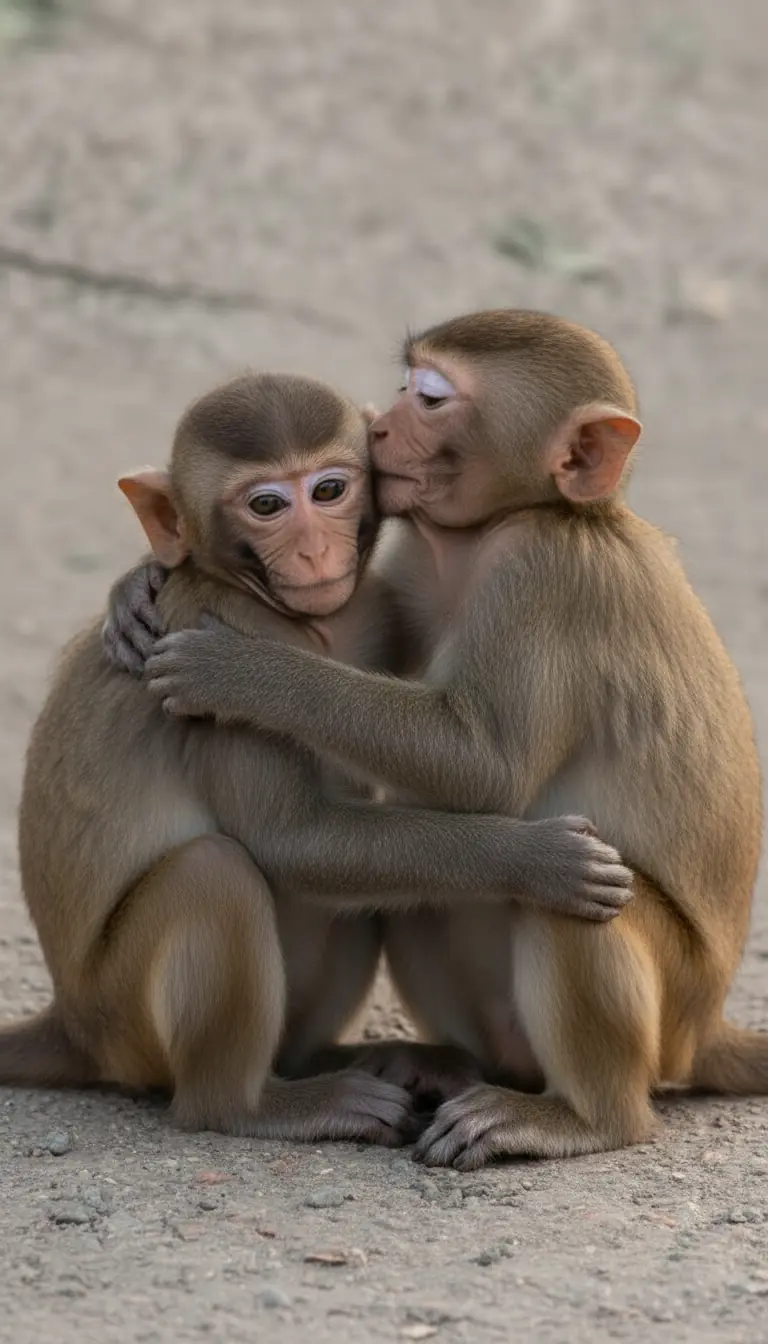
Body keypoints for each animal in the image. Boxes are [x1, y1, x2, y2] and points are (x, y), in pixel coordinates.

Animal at [0, 369, 633, 1145]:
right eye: (268, 505)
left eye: (329, 490)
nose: (311, 551)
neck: (303, 625)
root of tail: (72, 1024)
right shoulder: (219, 619)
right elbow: (289, 837)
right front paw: (542, 863)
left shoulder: (373, 608)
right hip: (123, 1020)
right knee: (212, 875)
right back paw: (262, 1104)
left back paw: (342, 1060)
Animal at [114, 313, 764, 1167]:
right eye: (405, 385)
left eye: (429, 398)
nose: (381, 425)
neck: (534, 515)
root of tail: (706, 1027)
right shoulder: (429, 559)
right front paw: (132, 591)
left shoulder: (543, 569)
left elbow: (487, 765)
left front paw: (242, 671)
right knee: (433, 883)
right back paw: (451, 1064)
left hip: (669, 1009)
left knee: (576, 900)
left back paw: (579, 1118)